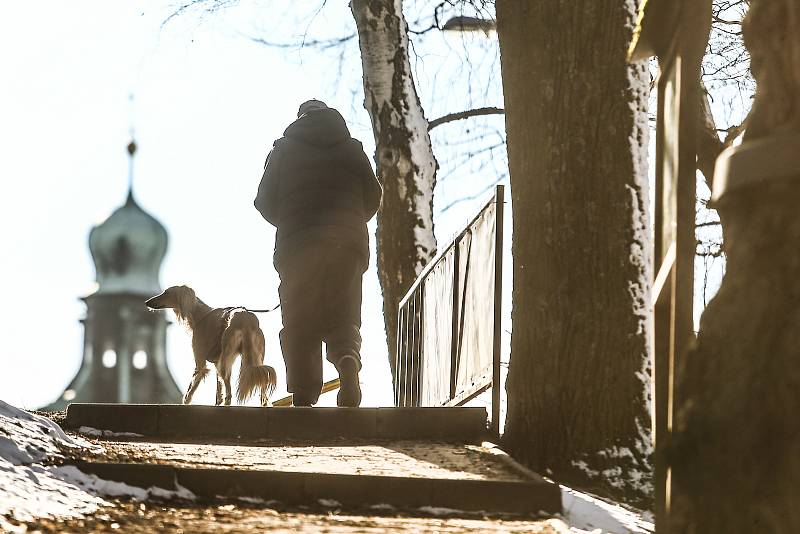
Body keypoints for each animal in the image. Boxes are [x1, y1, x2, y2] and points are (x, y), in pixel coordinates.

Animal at [145, 286, 276, 408]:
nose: (146, 302)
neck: (199, 315)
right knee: (261, 382)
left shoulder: (200, 363)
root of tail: (245, 317)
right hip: (254, 358)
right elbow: (218, 390)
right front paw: (217, 403)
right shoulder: (216, 362)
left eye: (166, 292)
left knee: (229, 392)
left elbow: (190, 390)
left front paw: (186, 402)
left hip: (226, 359)